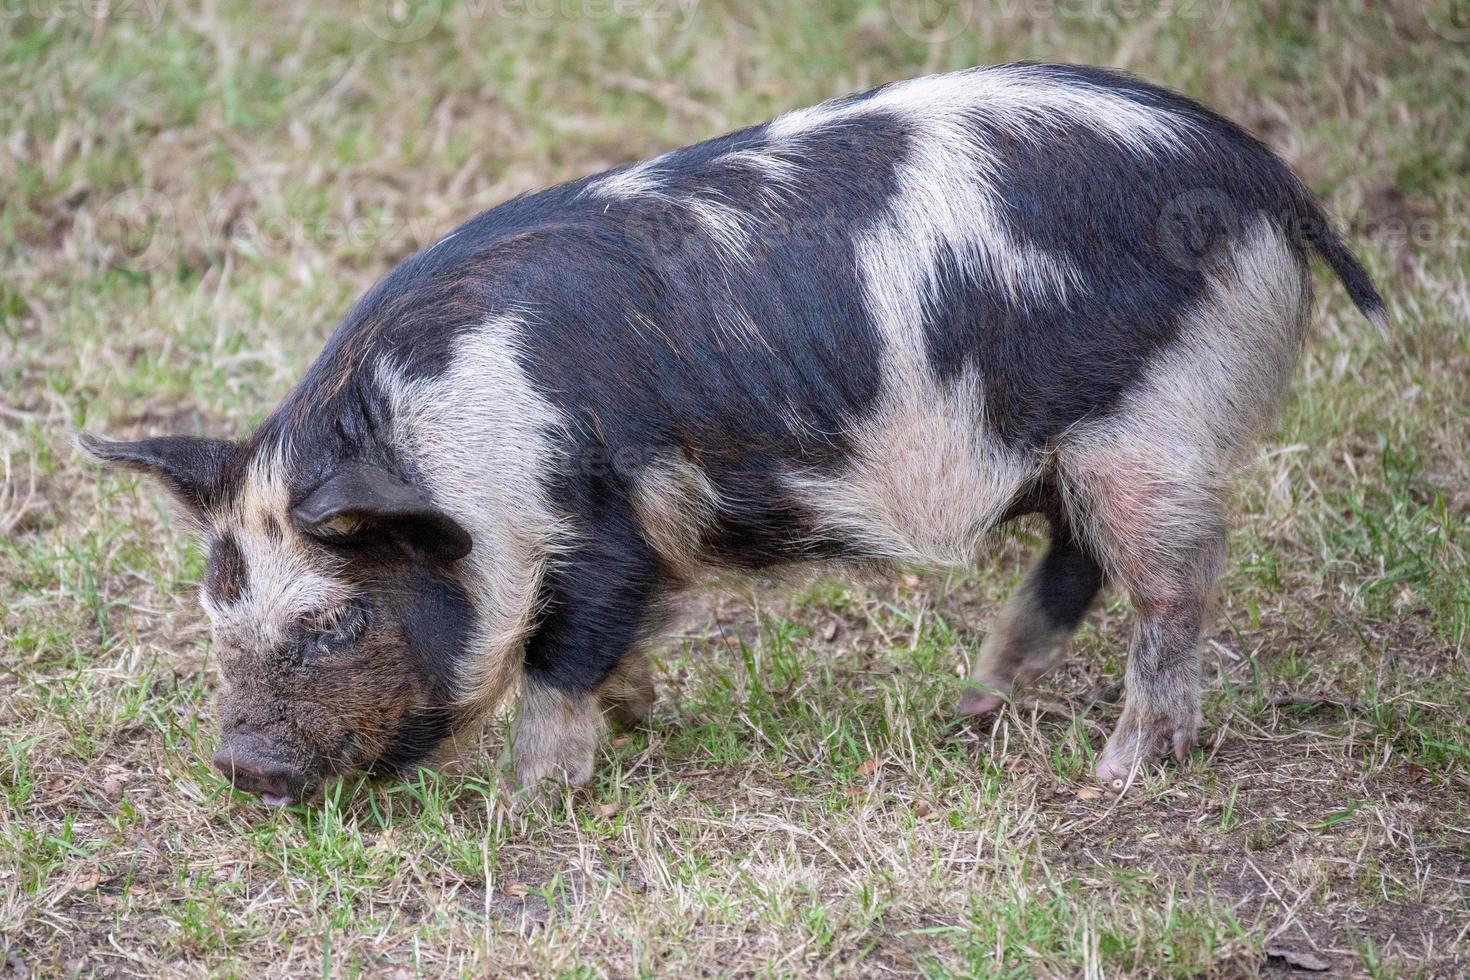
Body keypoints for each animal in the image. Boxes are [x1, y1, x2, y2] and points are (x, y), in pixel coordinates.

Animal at [83, 63, 1387, 805]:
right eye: (215, 607)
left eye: (339, 616)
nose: (242, 767)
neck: (462, 441)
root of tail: (1272, 184)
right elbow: (616, 644)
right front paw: (644, 716)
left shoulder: (601, 526)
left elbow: (559, 658)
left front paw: (526, 801)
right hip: (1092, 442)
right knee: (1078, 560)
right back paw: (972, 703)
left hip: (1151, 423)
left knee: (1177, 582)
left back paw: (1115, 773)